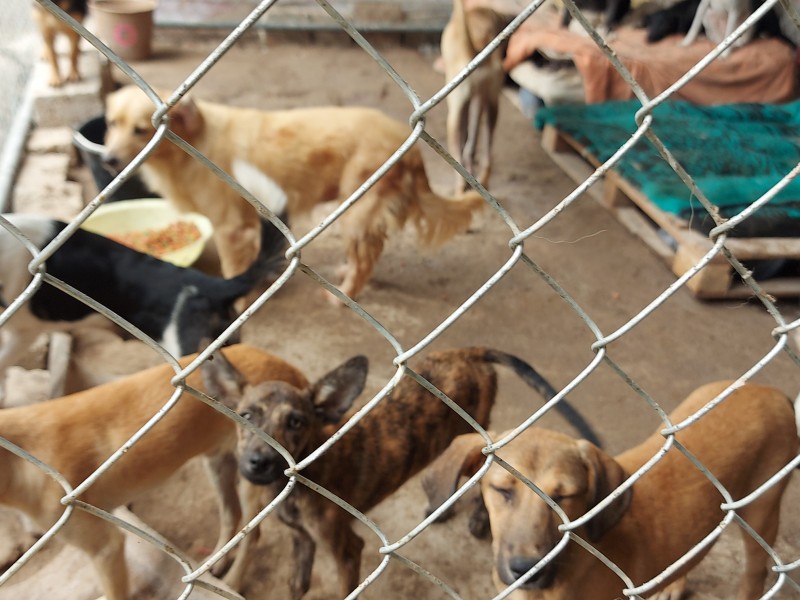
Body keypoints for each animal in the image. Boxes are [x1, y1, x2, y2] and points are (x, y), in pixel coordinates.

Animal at [0, 344, 310, 600]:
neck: (22, 459)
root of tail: (285, 367)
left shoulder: (106, 548)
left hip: (251, 477)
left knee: (252, 534)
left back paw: (233, 580)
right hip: (217, 463)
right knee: (231, 515)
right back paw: (218, 563)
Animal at [103, 85, 484, 304]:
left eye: (140, 129)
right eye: (111, 123)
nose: (107, 160)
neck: (191, 142)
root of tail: (409, 143)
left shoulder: (231, 229)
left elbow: (234, 272)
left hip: (357, 212)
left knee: (367, 260)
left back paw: (344, 296)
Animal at [202, 344, 600, 596]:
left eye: (296, 422)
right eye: (246, 415)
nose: (258, 463)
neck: (306, 472)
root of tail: (468, 352)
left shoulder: (348, 549)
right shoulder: (303, 540)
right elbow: (296, 587)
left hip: (477, 426)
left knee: (486, 464)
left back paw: (475, 517)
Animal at [422, 382, 796, 596]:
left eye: (564, 496)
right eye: (502, 491)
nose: (527, 569)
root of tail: (774, 393)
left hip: (762, 512)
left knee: (755, 573)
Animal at [440, 0, 510, 193]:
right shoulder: (479, 99)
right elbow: (472, 140)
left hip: (453, 115)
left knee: (459, 156)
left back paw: (461, 186)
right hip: (493, 104)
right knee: (484, 153)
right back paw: (480, 180)